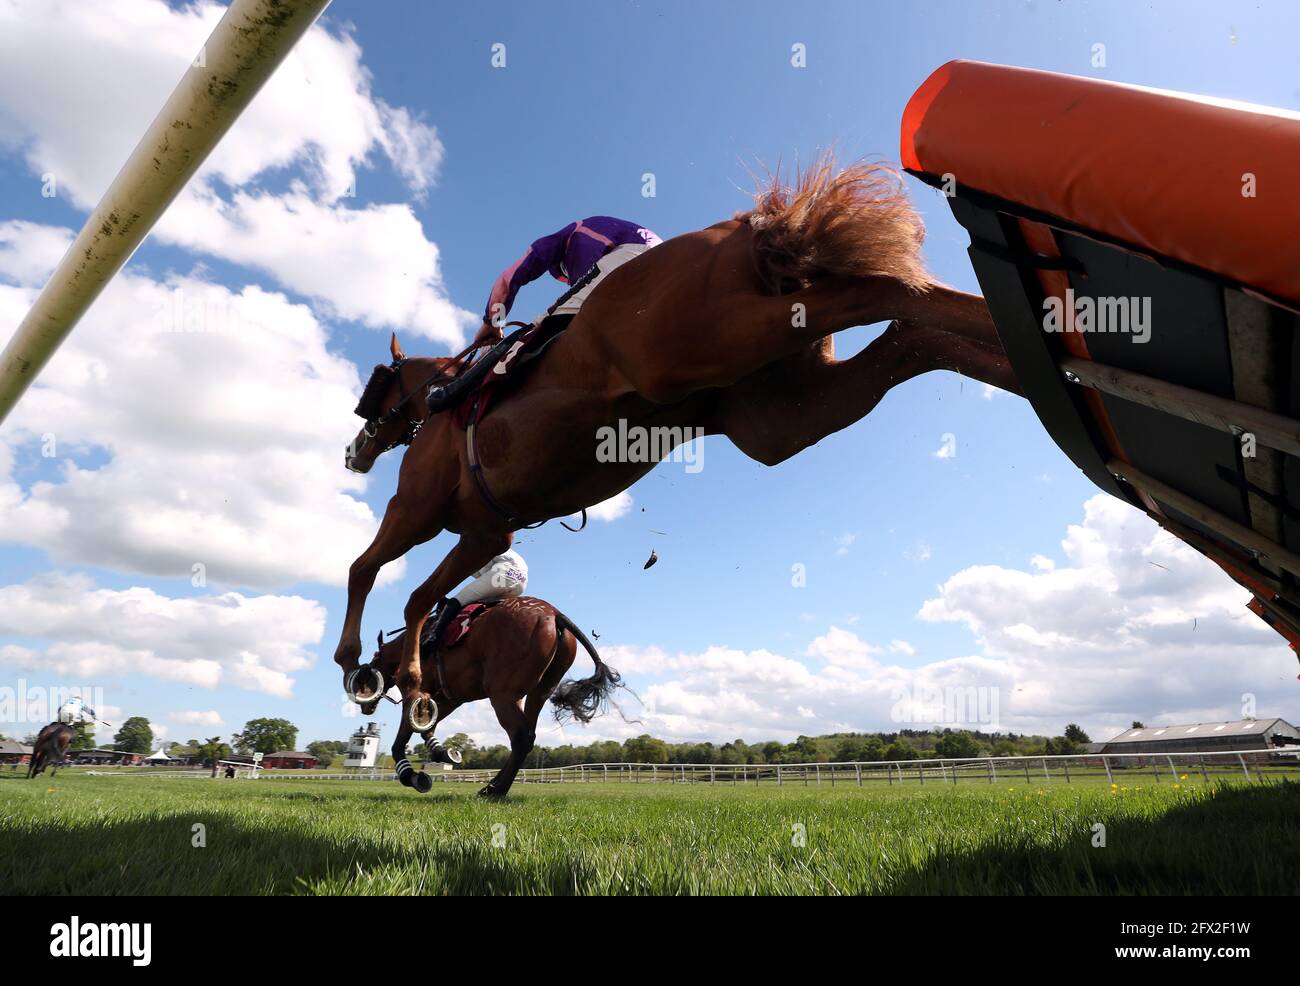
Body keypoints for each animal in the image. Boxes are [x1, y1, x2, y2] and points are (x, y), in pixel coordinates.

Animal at [338, 156, 1024, 728]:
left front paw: (358, 664)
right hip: (785, 414)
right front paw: (410, 682)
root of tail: (743, 229)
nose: (353, 452)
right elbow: (418, 599)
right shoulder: (486, 533)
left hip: (705, 340)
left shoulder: (416, 510)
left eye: (373, 389)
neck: (444, 399)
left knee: (888, 292)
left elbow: (365, 568)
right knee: (912, 336)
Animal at [366, 598, 618, 801]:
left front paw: (410, 774)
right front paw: (441, 752)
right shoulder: (451, 697)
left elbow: (402, 737)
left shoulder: (419, 691)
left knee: (521, 737)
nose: (367, 705)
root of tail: (555, 614)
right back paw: (494, 787)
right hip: (537, 692)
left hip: (502, 694)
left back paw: (494, 790)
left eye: (372, 663)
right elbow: (427, 727)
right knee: (527, 736)